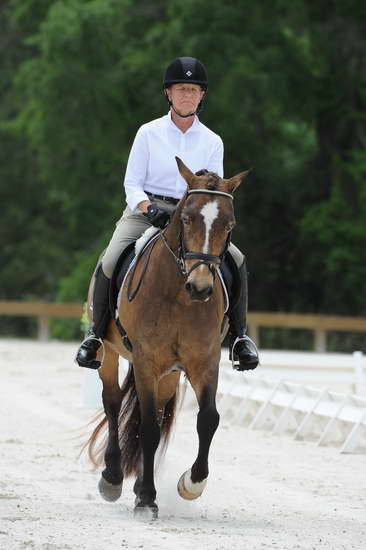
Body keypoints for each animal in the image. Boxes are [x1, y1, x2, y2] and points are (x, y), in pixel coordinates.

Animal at [85, 157, 249, 520]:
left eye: (229, 225)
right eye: (187, 218)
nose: (201, 287)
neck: (178, 295)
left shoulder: (205, 362)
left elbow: (208, 419)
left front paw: (191, 484)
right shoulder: (146, 360)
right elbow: (145, 426)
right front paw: (147, 499)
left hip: (170, 373)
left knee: (157, 415)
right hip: (111, 354)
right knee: (113, 402)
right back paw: (113, 478)